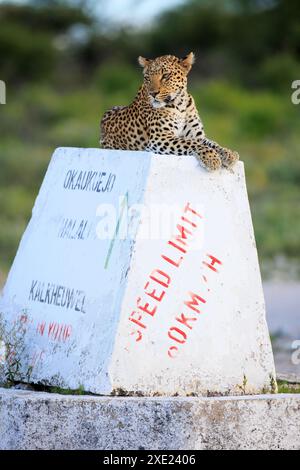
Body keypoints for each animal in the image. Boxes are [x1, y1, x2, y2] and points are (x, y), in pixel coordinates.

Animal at [100, 53, 239, 171]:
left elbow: (212, 143)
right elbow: (191, 144)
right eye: (147, 78)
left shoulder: (196, 135)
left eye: (165, 76)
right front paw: (212, 158)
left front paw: (228, 153)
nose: (153, 93)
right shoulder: (160, 138)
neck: (180, 105)